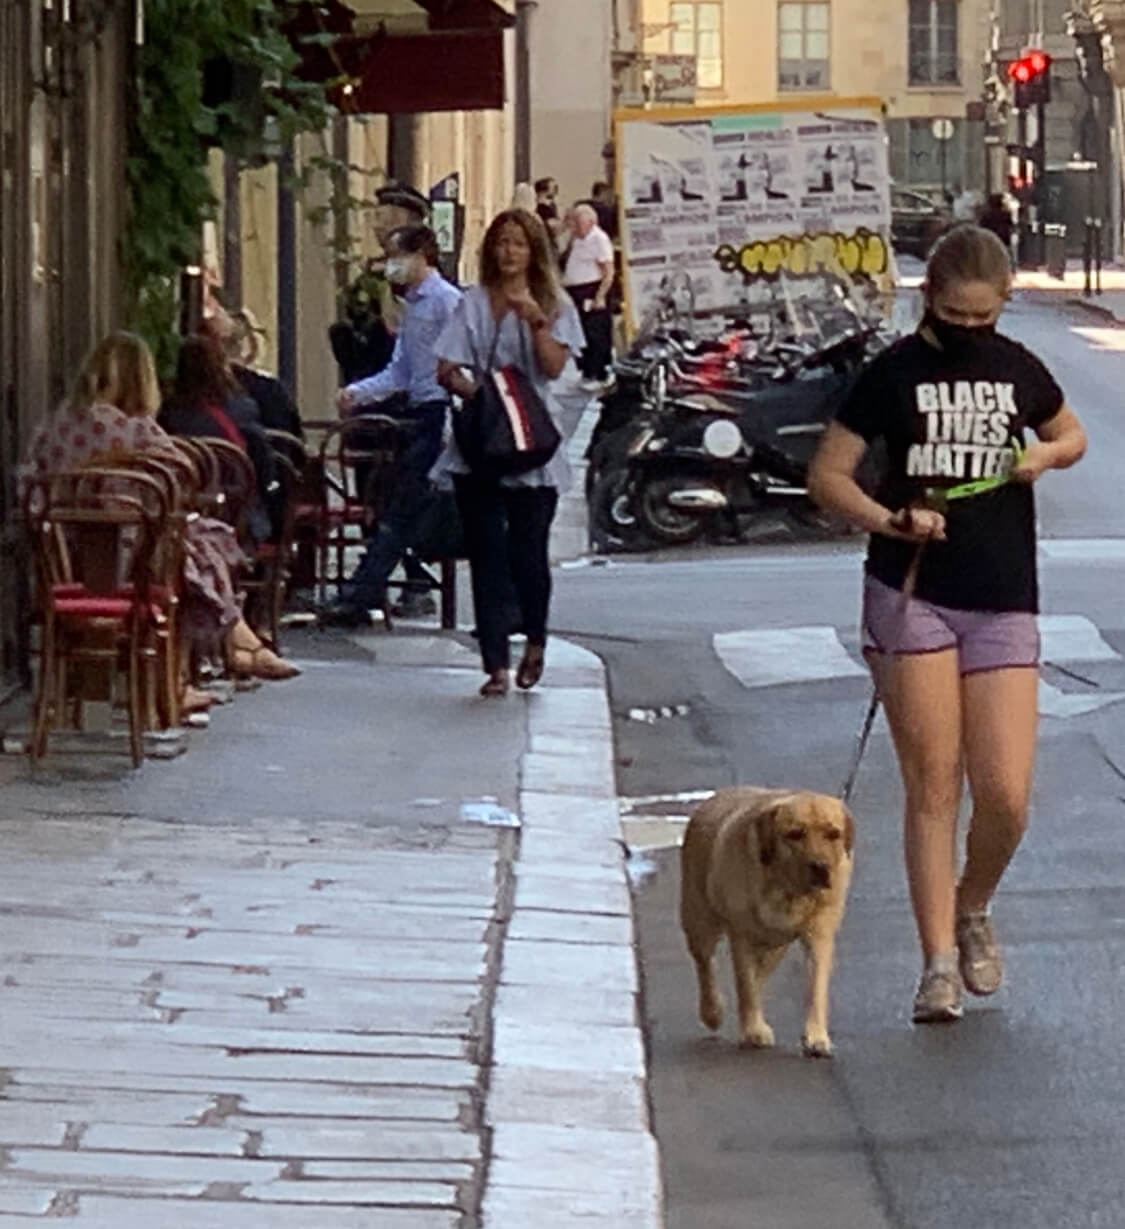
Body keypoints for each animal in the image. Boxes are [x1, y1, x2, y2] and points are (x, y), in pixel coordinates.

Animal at [678, 786, 855, 1056]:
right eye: (795, 834)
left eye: (833, 834)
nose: (820, 867)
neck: (786, 889)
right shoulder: (741, 936)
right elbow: (745, 985)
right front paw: (752, 1030)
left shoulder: (820, 934)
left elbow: (816, 988)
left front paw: (816, 1036)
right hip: (699, 921)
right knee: (706, 965)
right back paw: (713, 1011)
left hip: (775, 946)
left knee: (759, 974)